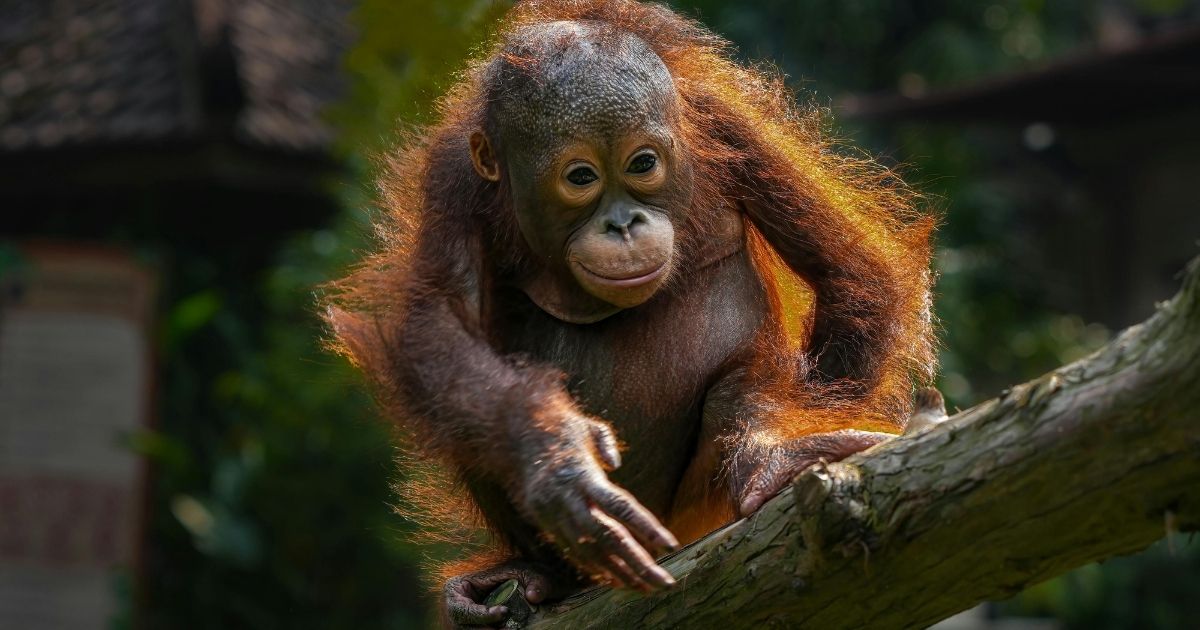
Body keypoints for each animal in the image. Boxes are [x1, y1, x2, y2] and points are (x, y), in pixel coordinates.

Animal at [325, 1, 937, 627]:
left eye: (643, 164)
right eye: (580, 177)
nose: (623, 224)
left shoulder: (725, 124)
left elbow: (850, 271)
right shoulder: (452, 179)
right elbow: (440, 326)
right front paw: (557, 460)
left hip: (692, 507)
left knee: (746, 380)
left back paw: (766, 460)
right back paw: (543, 573)